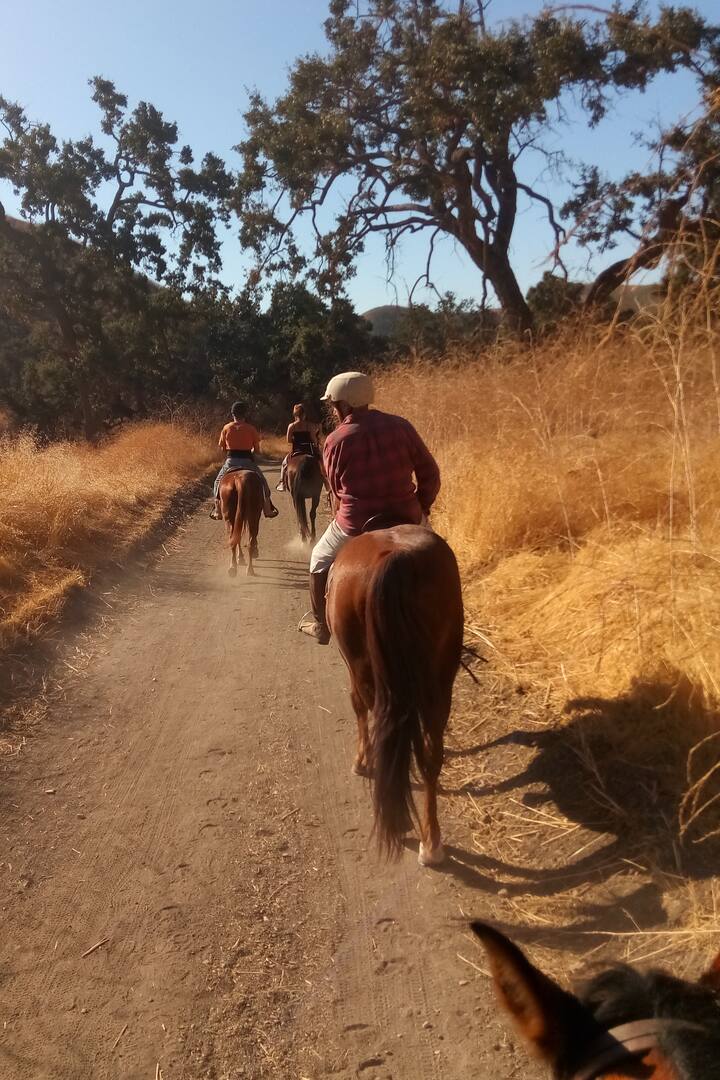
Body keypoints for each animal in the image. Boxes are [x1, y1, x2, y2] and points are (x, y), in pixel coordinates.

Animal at [326, 523, 463, 866]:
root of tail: (396, 557)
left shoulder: (353, 671)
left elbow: (358, 708)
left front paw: (360, 761)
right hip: (440, 678)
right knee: (430, 751)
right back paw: (431, 843)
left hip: (364, 667)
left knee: (378, 721)